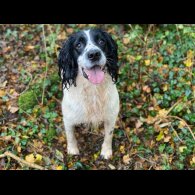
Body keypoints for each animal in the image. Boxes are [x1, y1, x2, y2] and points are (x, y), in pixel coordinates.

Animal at [57, 29, 119, 160]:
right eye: (78, 45)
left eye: (101, 41)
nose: (94, 54)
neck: (93, 89)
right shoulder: (68, 117)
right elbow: (70, 135)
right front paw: (73, 150)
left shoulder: (111, 115)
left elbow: (109, 135)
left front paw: (106, 151)